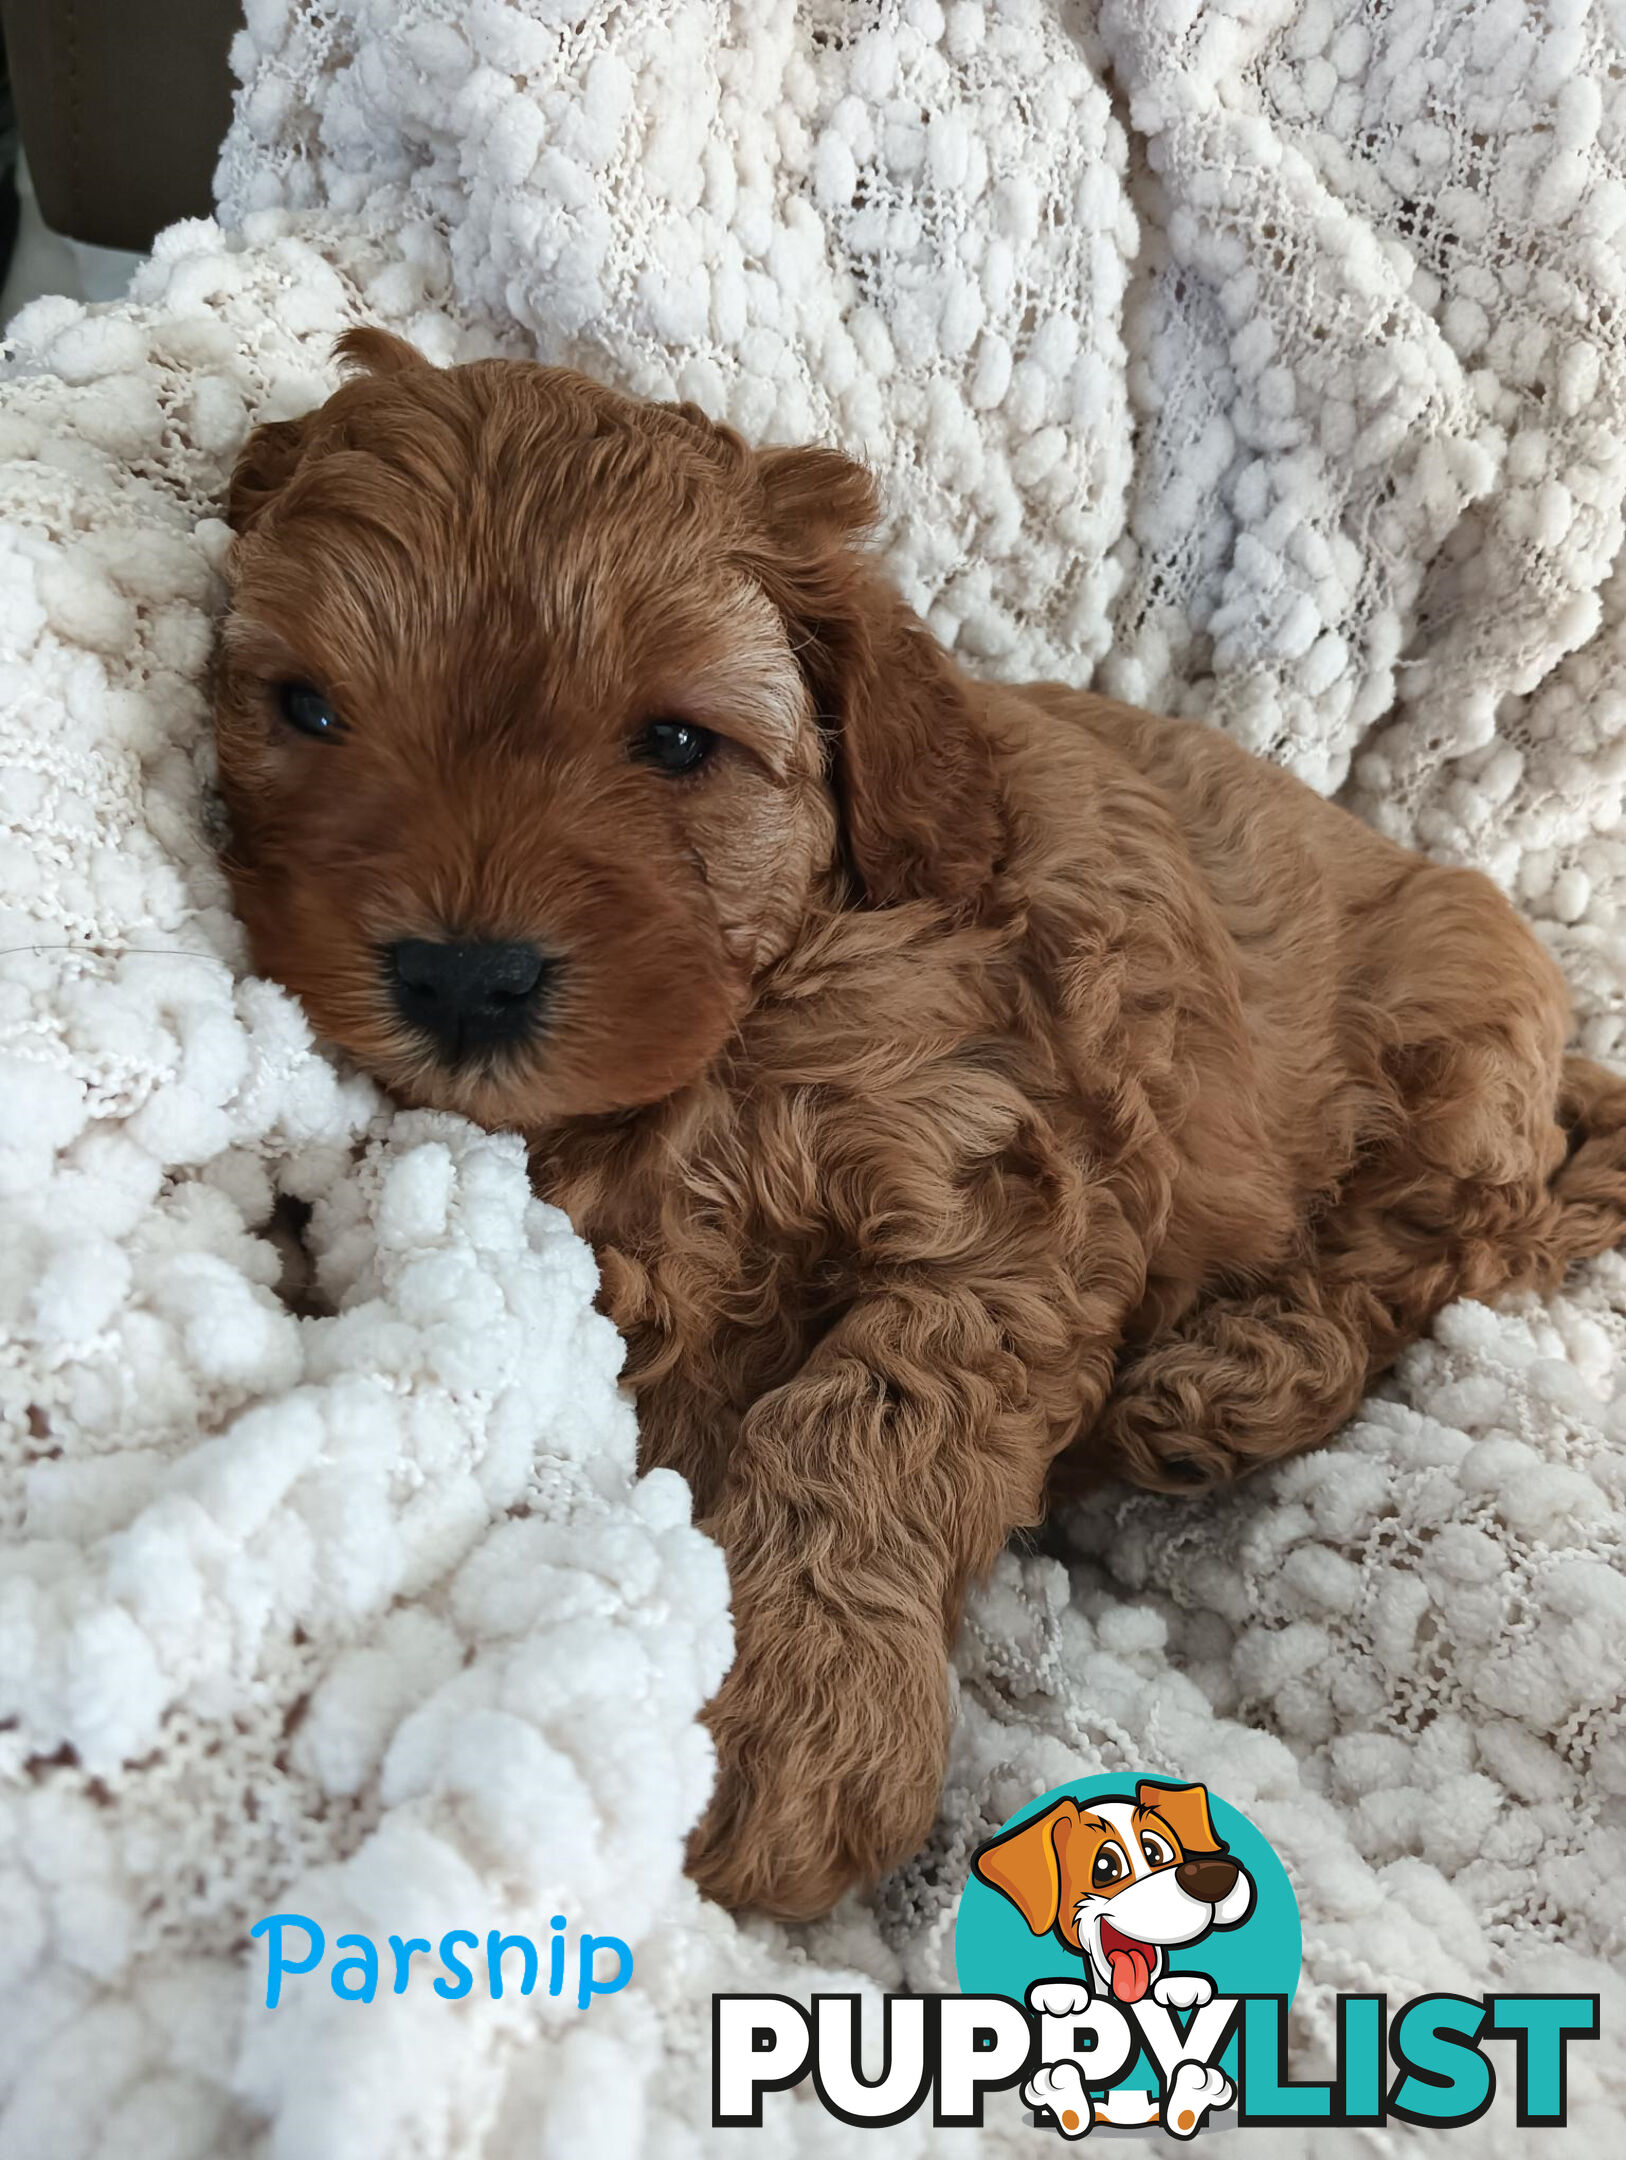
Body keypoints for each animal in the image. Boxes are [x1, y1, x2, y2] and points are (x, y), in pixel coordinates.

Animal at [209, 336, 1623, 1926]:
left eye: (678, 744)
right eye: (307, 712)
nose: (464, 978)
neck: (764, 995)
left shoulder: (1012, 1191)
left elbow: (870, 1421)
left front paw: (793, 1716)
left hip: (1451, 1045)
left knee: (1425, 1252)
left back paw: (1232, 1378)